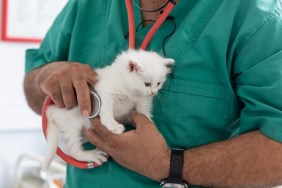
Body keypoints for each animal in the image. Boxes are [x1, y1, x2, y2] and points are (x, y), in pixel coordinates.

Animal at [42, 49, 173, 170]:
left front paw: (148, 124)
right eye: (147, 84)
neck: (130, 89)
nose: (153, 93)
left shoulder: (143, 101)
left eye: (158, 83)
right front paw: (113, 126)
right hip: (72, 126)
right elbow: (107, 111)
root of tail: (51, 110)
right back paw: (91, 155)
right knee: (72, 150)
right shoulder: (106, 92)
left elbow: (144, 113)